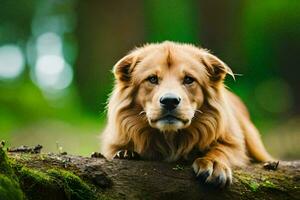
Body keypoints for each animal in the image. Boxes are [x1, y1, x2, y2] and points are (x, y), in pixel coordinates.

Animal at [100, 40, 272, 188]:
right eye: (152, 79)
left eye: (189, 79)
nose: (169, 101)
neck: (170, 138)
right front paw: (125, 152)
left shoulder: (234, 144)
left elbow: (222, 149)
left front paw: (213, 163)